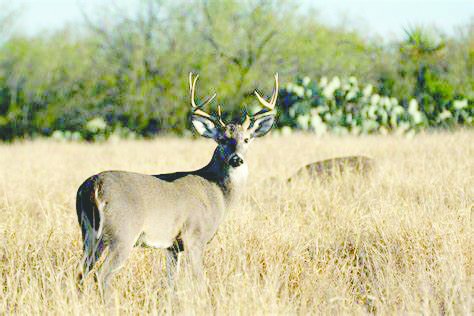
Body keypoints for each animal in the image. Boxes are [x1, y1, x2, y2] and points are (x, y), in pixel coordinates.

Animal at [76, 72, 280, 296]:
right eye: (222, 140)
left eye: (247, 139)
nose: (237, 159)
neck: (218, 193)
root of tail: (93, 185)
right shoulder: (195, 235)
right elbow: (199, 280)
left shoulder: (173, 246)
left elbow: (171, 282)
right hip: (122, 233)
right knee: (101, 274)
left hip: (89, 234)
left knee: (80, 272)